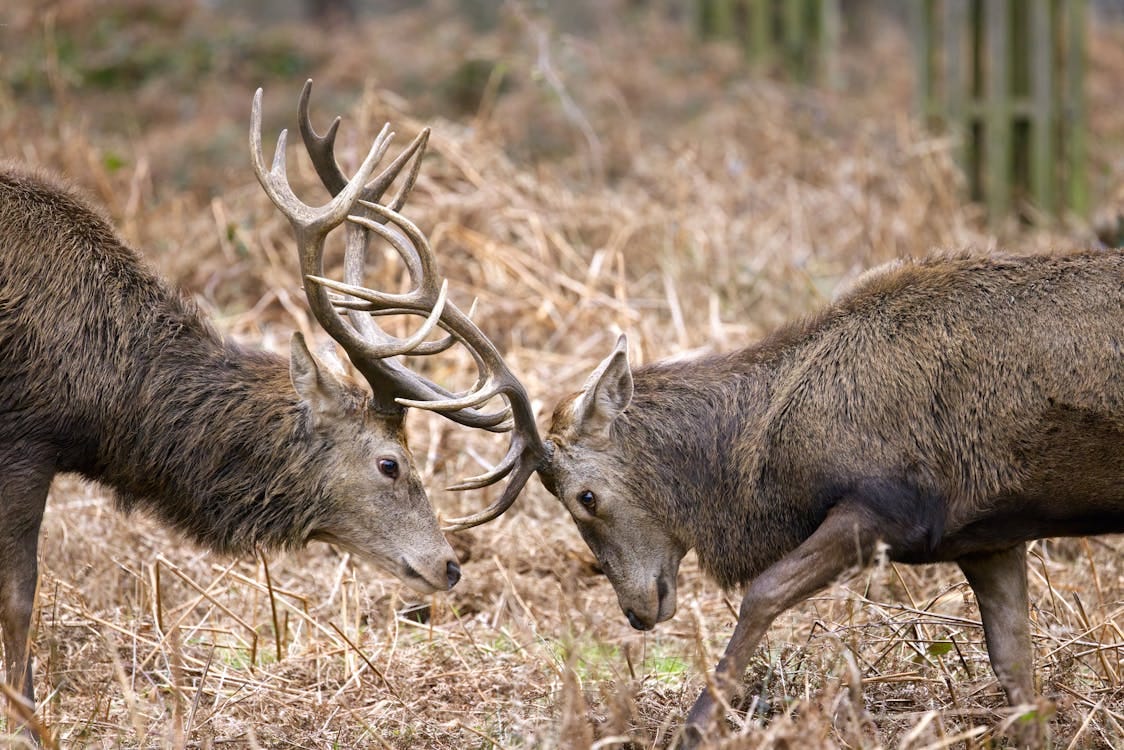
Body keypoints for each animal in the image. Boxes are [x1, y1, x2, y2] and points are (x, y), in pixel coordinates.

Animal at [0, 82, 521, 737]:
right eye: (390, 464)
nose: (449, 565)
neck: (101, 402)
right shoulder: (23, 440)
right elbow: (20, 597)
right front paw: (29, 726)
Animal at [442, 247, 1119, 746]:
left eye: (585, 497)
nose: (636, 611)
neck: (773, 463)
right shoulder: (989, 536)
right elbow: (1017, 674)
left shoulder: (890, 508)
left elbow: (762, 592)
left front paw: (699, 725)